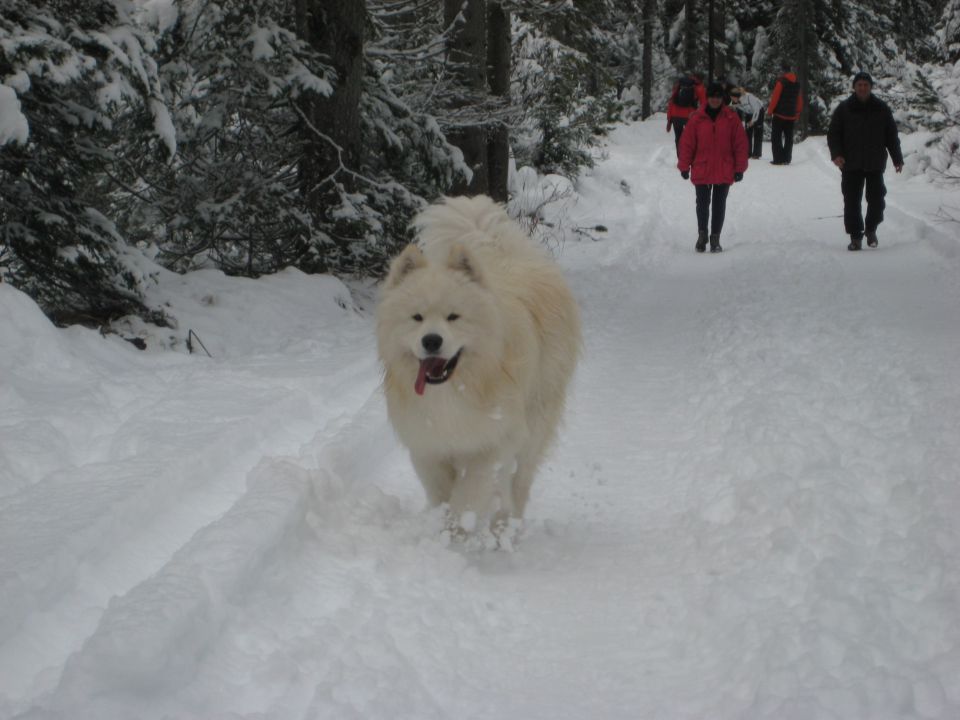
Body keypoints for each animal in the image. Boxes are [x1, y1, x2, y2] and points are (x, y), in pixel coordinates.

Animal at [376, 194, 580, 532]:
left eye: (453, 317)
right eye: (417, 317)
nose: (431, 341)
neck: (453, 390)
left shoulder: (493, 442)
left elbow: (469, 494)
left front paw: (458, 530)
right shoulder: (428, 446)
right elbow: (443, 492)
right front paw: (445, 527)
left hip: (535, 425)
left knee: (518, 486)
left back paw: (504, 528)